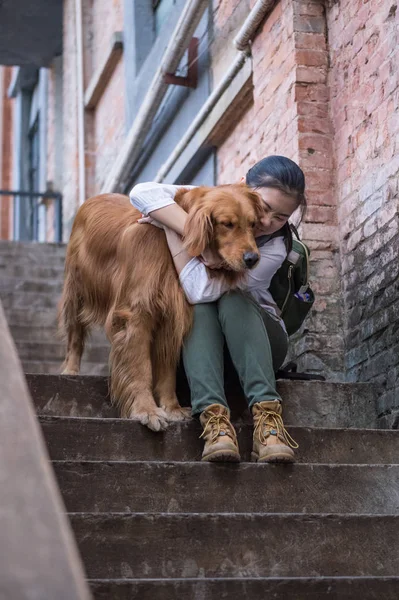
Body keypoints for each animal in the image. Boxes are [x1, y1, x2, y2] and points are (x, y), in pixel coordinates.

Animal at [59, 185, 264, 428]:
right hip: (77, 288)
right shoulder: (136, 314)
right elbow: (141, 368)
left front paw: (171, 407)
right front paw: (146, 410)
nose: (252, 259)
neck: (171, 241)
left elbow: (166, 372)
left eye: (252, 224)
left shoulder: (172, 316)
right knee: (75, 333)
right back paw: (71, 369)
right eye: (227, 224)